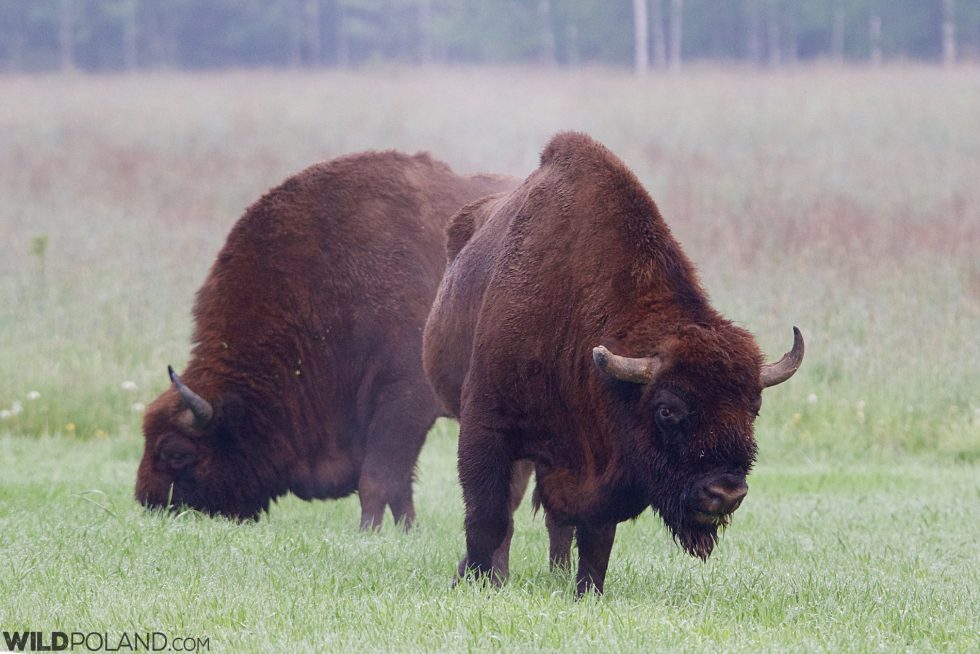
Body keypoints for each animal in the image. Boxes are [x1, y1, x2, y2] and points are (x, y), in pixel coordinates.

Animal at [140, 151, 520, 532]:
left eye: (176, 452)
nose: (149, 503)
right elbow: (400, 485)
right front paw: (406, 530)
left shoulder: (405, 400)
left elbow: (379, 478)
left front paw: (369, 531)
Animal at [424, 131, 804, 596]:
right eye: (667, 410)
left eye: (754, 408)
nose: (725, 493)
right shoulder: (487, 429)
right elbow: (488, 516)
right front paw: (477, 580)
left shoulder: (600, 464)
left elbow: (595, 535)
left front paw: (588, 590)